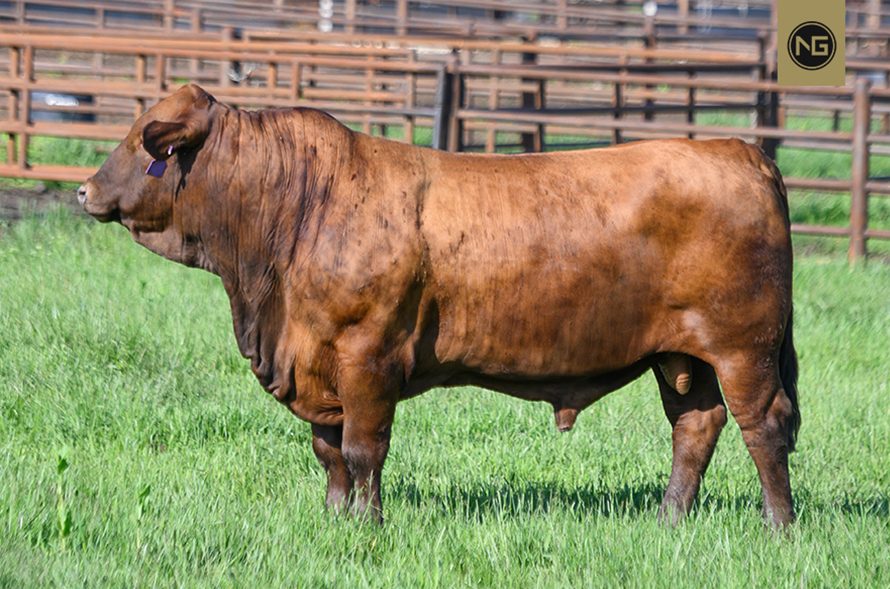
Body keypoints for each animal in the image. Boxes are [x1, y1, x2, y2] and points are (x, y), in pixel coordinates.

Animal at [78, 84, 799, 527]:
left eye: (142, 139)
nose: (83, 190)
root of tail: (739, 151)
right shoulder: (317, 363)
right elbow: (328, 451)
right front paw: (335, 518)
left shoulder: (367, 359)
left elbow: (363, 450)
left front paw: (367, 525)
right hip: (682, 355)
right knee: (696, 427)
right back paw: (669, 518)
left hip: (744, 346)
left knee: (763, 429)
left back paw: (779, 525)